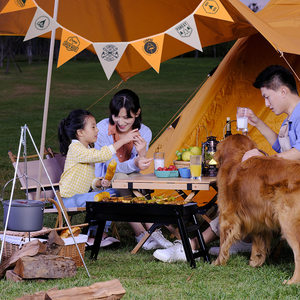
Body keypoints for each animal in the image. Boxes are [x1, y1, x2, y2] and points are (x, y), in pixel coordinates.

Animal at [212, 135, 300, 284]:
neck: (235, 159)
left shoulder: (226, 217)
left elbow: (223, 242)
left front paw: (218, 262)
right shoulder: (258, 216)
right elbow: (258, 241)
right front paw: (255, 261)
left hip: (289, 224)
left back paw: (292, 281)